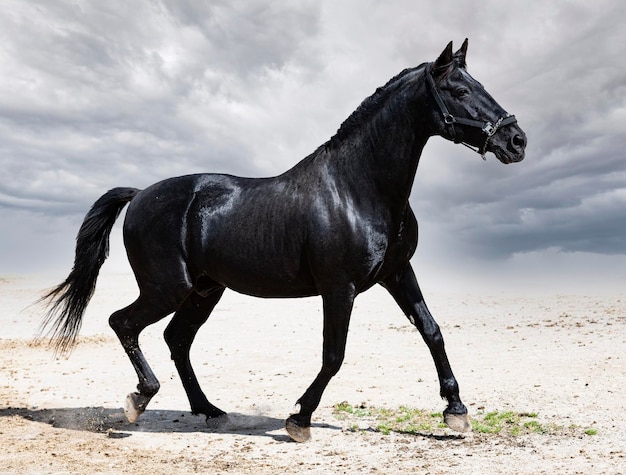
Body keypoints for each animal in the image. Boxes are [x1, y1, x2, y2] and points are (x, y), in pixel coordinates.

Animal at [41, 40, 524, 442]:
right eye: (459, 90)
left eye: (479, 84)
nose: (516, 140)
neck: (357, 187)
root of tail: (140, 194)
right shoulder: (339, 288)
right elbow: (334, 355)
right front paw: (299, 420)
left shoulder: (397, 273)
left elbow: (432, 331)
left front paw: (456, 411)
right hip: (167, 287)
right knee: (124, 323)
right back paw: (139, 400)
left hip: (204, 290)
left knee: (177, 338)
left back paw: (210, 410)